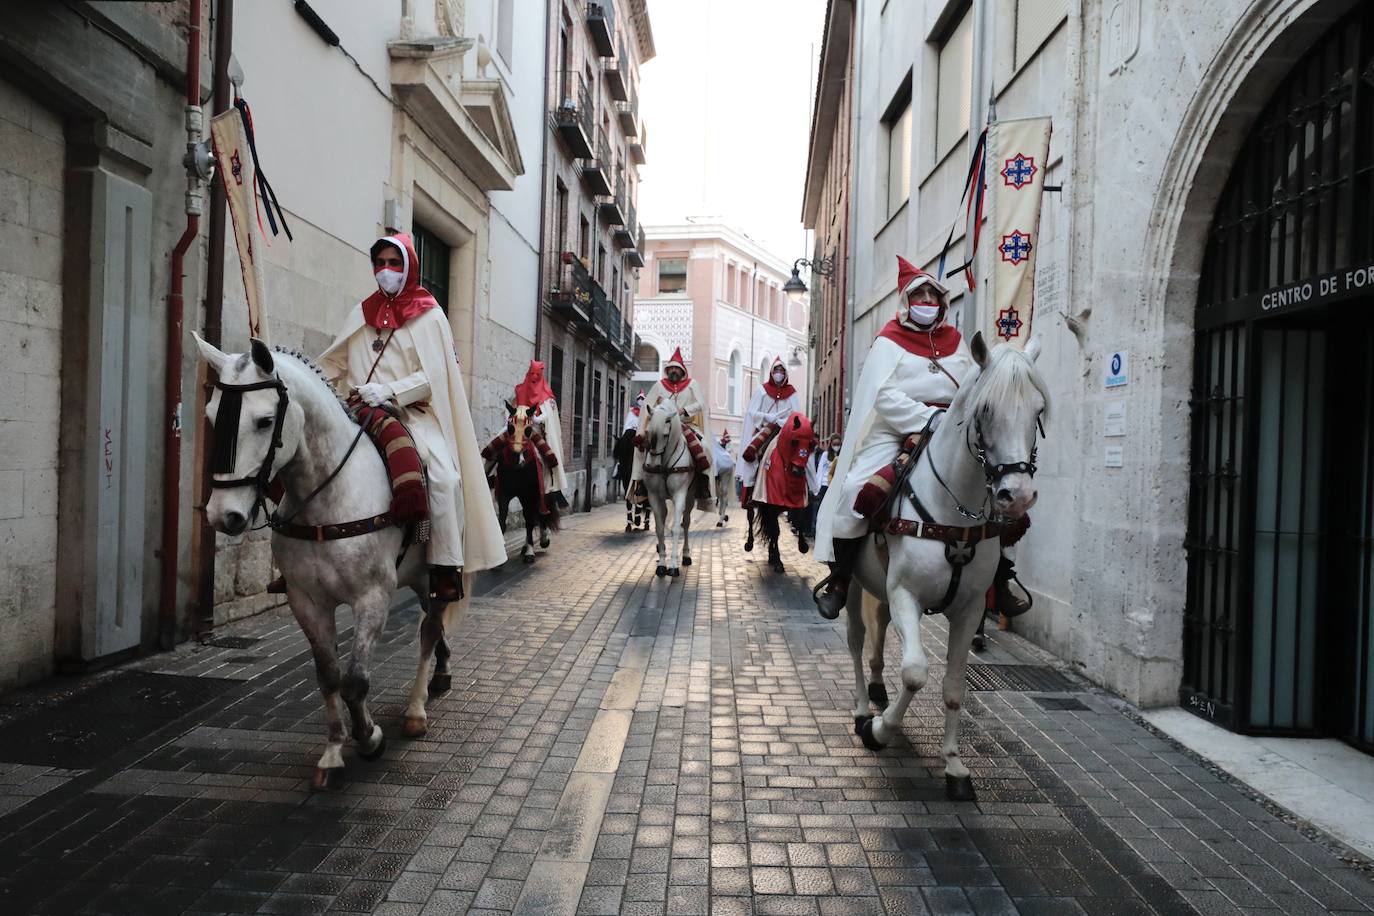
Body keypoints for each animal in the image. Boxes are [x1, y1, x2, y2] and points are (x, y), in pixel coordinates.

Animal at [193, 336, 456, 791]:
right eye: (211, 416)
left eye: (265, 421)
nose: (223, 515)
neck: (328, 498)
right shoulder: (307, 602)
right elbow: (329, 676)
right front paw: (334, 750)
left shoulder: (372, 599)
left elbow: (355, 681)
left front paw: (369, 739)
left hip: (433, 577)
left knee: (428, 631)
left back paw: (416, 709)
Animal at [637, 398, 692, 576]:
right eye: (648, 432)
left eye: (666, 435)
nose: (652, 465)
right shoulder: (654, 496)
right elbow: (660, 528)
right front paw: (662, 563)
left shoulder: (680, 495)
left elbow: (676, 528)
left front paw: (673, 565)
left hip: (690, 498)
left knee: (686, 523)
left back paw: (686, 555)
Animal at [840, 333, 1044, 796]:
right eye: (985, 410)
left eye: (1038, 410)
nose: (1017, 496)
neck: (955, 514)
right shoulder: (906, 596)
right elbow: (916, 673)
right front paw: (880, 731)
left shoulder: (969, 609)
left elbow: (953, 686)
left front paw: (954, 766)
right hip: (856, 583)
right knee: (857, 640)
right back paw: (862, 708)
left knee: (878, 634)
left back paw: (877, 689)